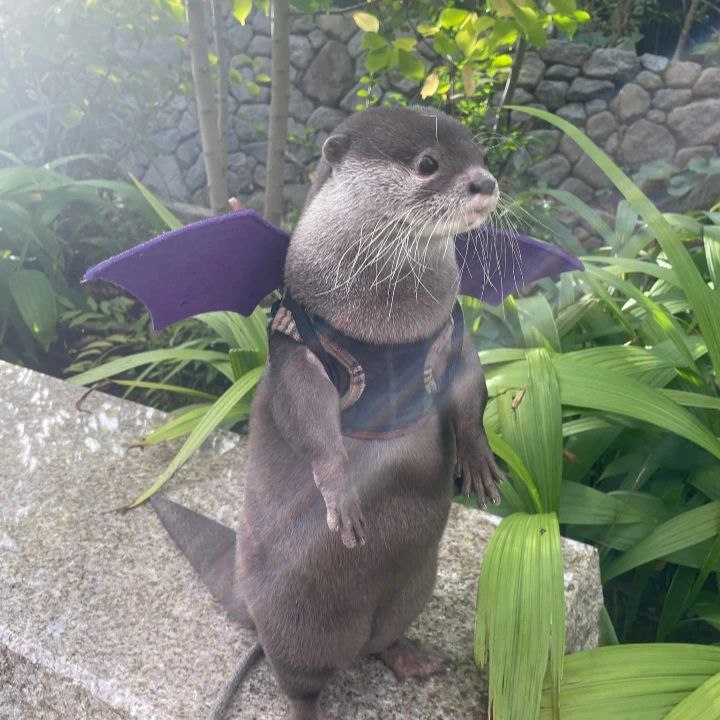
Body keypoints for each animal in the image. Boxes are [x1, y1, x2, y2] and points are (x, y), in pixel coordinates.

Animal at [233, 106, 504, 720]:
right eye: (428, 163)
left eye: (481, 156)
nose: (485, 183)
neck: (389, 320)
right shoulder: (301, 347)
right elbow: (310, 422)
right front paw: (343, 500)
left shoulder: (451, 329)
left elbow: (471, 389)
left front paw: (478, 462)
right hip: (292, 623)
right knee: (299, 681)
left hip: (412, 588)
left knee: (383, 636)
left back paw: (411, 657)